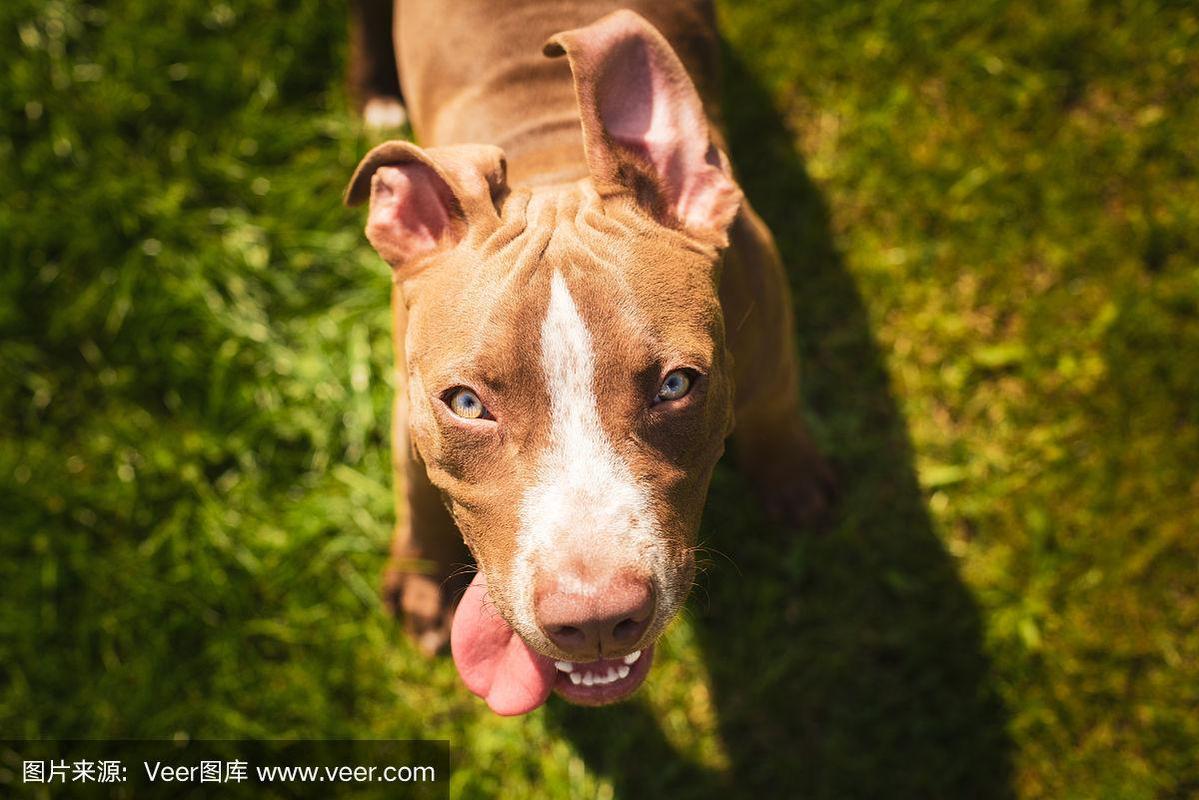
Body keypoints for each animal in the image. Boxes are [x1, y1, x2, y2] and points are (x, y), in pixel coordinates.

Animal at [344, 0, 833, 715]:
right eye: (466, 404)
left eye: (676, 386)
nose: (597, 620)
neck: (551, 159)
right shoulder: (409, 402)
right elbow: (414, 485)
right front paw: (422, 579)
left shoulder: (763, 290)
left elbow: (775, 398)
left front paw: (790, 477)